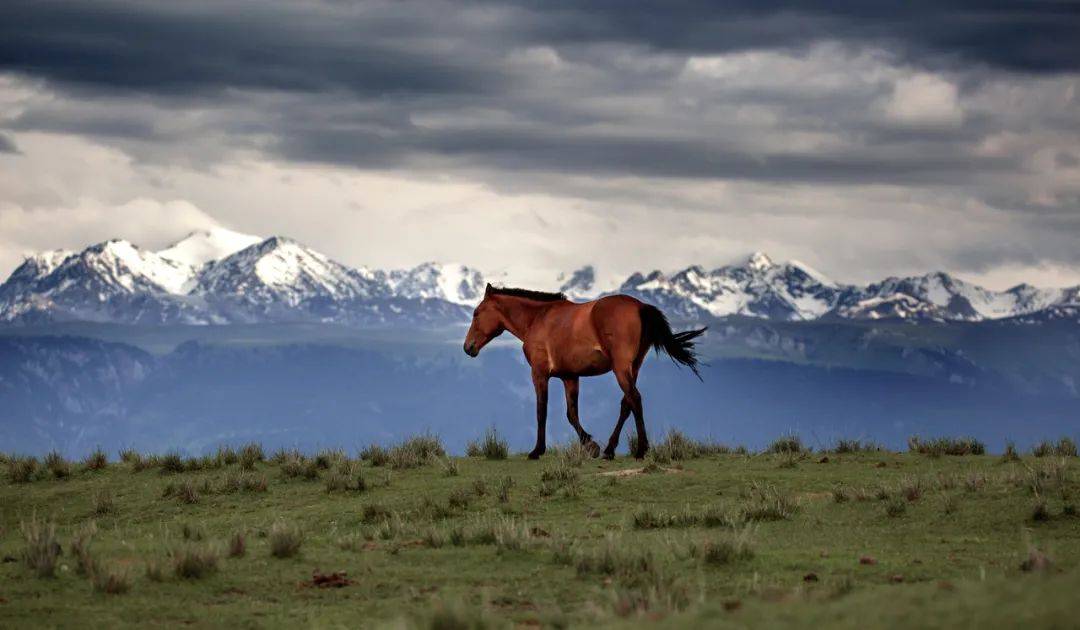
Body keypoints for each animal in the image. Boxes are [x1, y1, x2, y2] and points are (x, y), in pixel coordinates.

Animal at [462, 284, 707, 459]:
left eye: (476, 313)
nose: (468, 347)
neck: (538, 319)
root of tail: (640, 306)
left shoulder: (539, 374)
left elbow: (542, 411)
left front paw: (537, 451)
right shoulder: (570, 377)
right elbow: (572, 414)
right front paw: (591, 446)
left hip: (621, 368)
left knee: (635, 399)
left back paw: (641, 449)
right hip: (633, 368)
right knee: (626, 403)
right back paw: (609, 450)